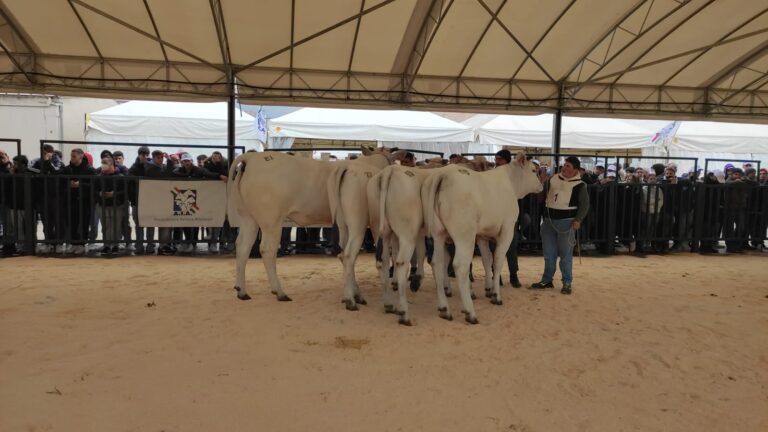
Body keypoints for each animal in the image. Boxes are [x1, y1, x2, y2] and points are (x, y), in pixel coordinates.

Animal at [228, 148, 392, 308]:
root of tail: (251, 158)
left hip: (248, 218)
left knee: (242, 246)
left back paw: (242, 291)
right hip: (271, 220)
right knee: (267, 250)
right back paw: (280, 293)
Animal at [420, 155, 540, 324]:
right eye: (534, 170)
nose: (541, 186)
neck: (510, 183)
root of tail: (444, 173)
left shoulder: (482, 236)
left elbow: (487, 259)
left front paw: (488, 289)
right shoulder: (507, 230)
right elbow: (497, 261)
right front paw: (496, 295)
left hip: (438, 235)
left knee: (437, 263)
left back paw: (444, 309)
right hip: (464, 235)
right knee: (460, 265)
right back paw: (470, 312)